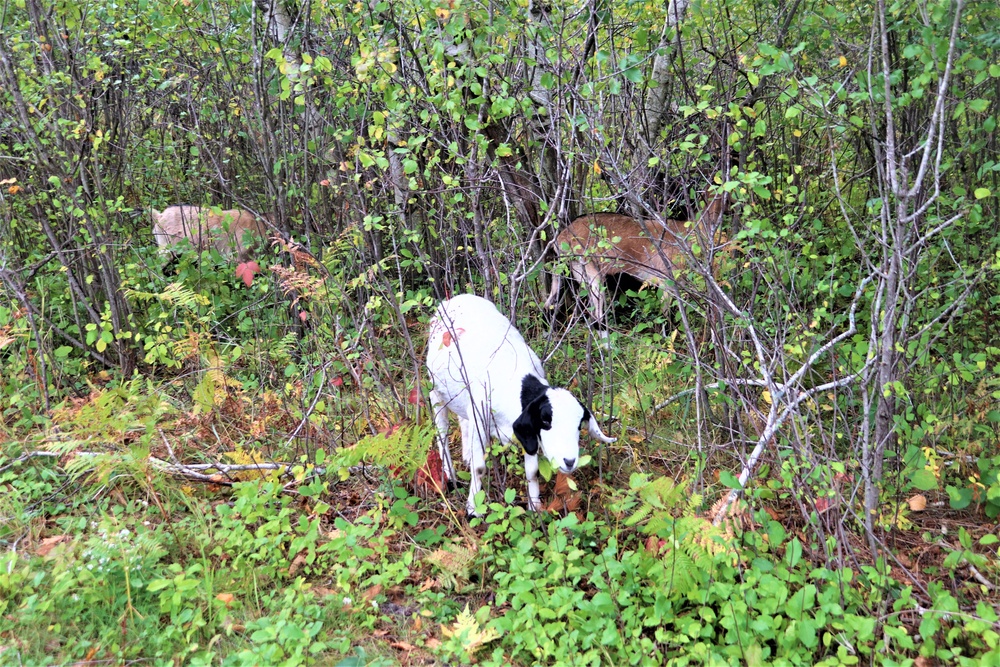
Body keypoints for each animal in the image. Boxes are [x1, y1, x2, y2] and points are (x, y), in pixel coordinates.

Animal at [426, 294, 612, 516]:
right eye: (546, 421)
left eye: (578, 426)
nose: (569, 461)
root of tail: (457, 298)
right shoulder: (482, 416)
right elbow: (479, 468)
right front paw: (474, 508)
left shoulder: (526, 432)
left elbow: (532, 471)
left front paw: (535, 506)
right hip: (436, 391)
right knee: (442, 430)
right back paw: (449, 474)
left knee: (463, 421)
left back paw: (466, 456)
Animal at [548, 194, 728, 322]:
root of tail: (561, 238)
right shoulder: (666, 281)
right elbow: (667, 315)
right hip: (593, 274)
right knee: (597, 314)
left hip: (579, 271)